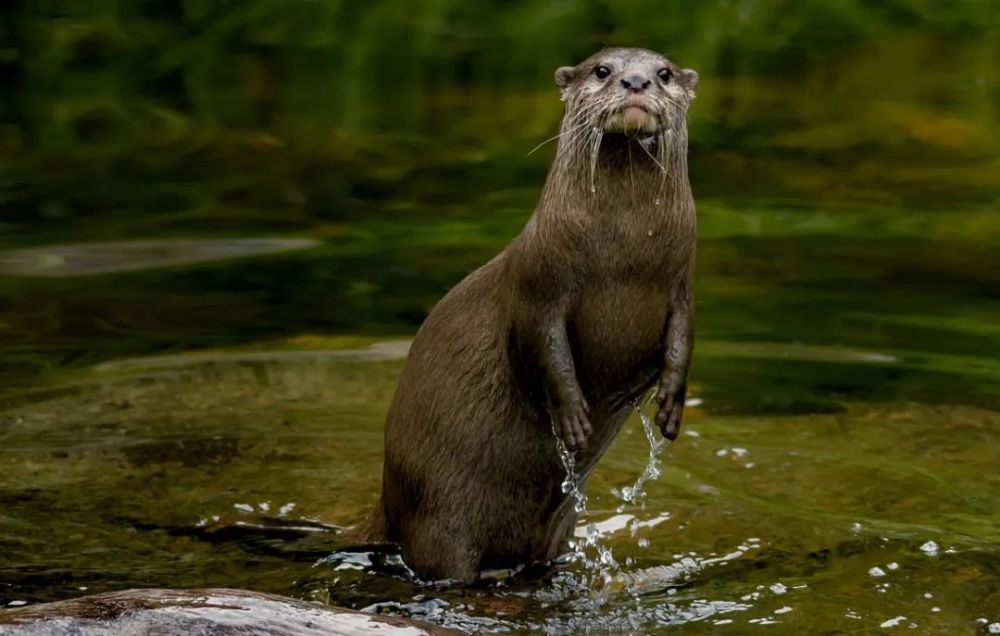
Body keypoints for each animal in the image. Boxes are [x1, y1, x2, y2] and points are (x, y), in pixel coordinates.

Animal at [360, 47, 696, 584]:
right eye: (602, 70)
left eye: (663, 73)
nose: (636, 82)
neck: (621, 258)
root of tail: (389, 501)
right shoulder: (539, 285)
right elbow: (543, 346)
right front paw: (573, 417)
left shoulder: (681, 286)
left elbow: (683, 341)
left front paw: (670, 405)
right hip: (437, 515)